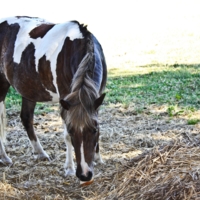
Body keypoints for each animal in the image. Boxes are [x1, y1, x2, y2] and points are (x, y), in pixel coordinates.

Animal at [0, 16, 107, 184]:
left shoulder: (96, 99)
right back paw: (4, 157)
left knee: (26, 118)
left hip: (29, 89)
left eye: (94, 130)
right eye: (72, 130)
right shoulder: (66, 101)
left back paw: (40, 153)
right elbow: (66, 136)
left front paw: (98, 157)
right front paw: (69, 168)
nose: (84, 175)